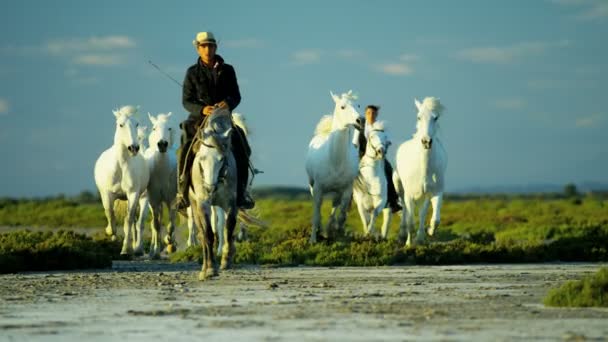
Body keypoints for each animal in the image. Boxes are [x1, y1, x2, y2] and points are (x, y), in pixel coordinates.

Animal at [96, 105, 152, 255]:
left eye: (136, 124)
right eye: (121, 124)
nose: (134, 148)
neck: (120, 166)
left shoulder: (133, 195)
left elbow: (128, 221)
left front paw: (125, 249)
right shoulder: (107, 194)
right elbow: (110, 213)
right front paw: (110, 232)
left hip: (141, 198)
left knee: (137, 222)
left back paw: (137, 248)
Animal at [306, 89, 364, 242]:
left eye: (359, 105)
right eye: (342, 107)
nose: (361, 120)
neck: (335, 162)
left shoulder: (346, 190)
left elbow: (342, 214)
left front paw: (337, 231)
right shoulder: (318, 189)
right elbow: (316, 213)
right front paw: (313, 239)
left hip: (337, 192)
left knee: (334, 207)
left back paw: (328, 230)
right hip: (312, 185)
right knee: (319, 208)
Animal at [394, 97, 446, 247]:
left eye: (436, 117)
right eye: (418, 117)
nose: (426, 141)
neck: (423, 168)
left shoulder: (436, 192)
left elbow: (435, 219)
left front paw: (428, 232)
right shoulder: (409, 195)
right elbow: (410, 221)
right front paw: (408, 243)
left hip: (426, 196)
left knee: (422, 212)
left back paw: (421, 236)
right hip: (399, 187)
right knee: (404, 209)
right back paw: (402, 235)